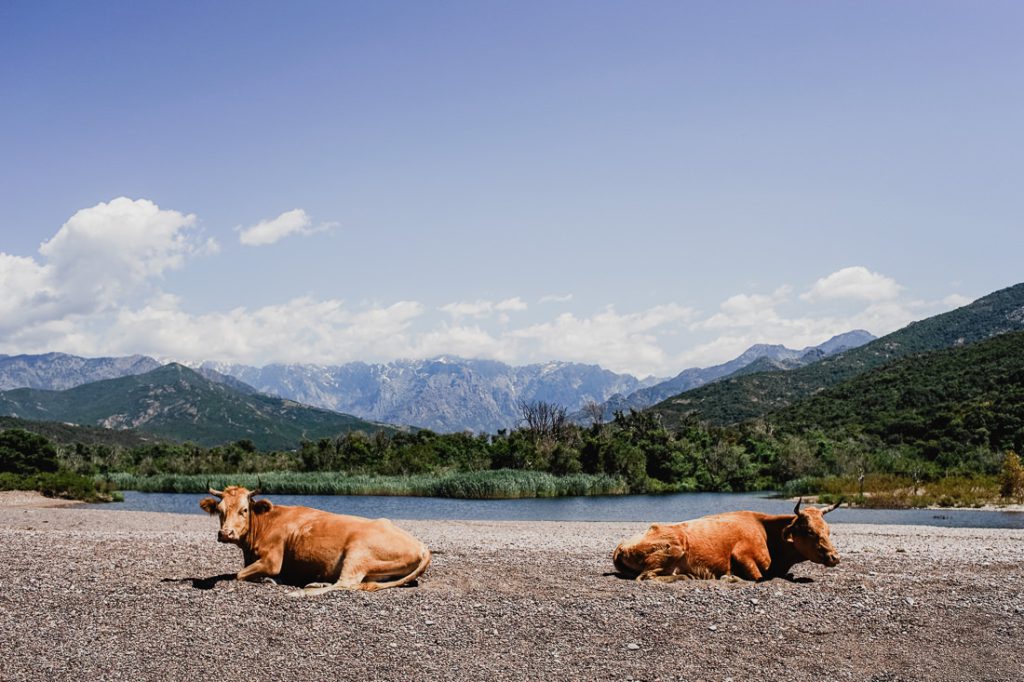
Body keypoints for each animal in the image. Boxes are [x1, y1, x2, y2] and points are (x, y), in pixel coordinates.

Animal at [199, 485, 431, 596]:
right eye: (220, 510)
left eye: (244, 510)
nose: (226, 533)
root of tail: (422, 546)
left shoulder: (273, 560)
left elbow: (239, 575)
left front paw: (271, 579)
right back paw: (316, 582)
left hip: (357, 552)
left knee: (347, 583)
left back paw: (301, 592)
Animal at [612, 498, 842, 582]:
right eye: (809, 531)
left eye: (828, 530)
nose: (834, 557)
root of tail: (622, 545)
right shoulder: (741, 555)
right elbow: (758, 577)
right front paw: (731, 577)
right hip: (676, 547)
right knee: (646, 577)